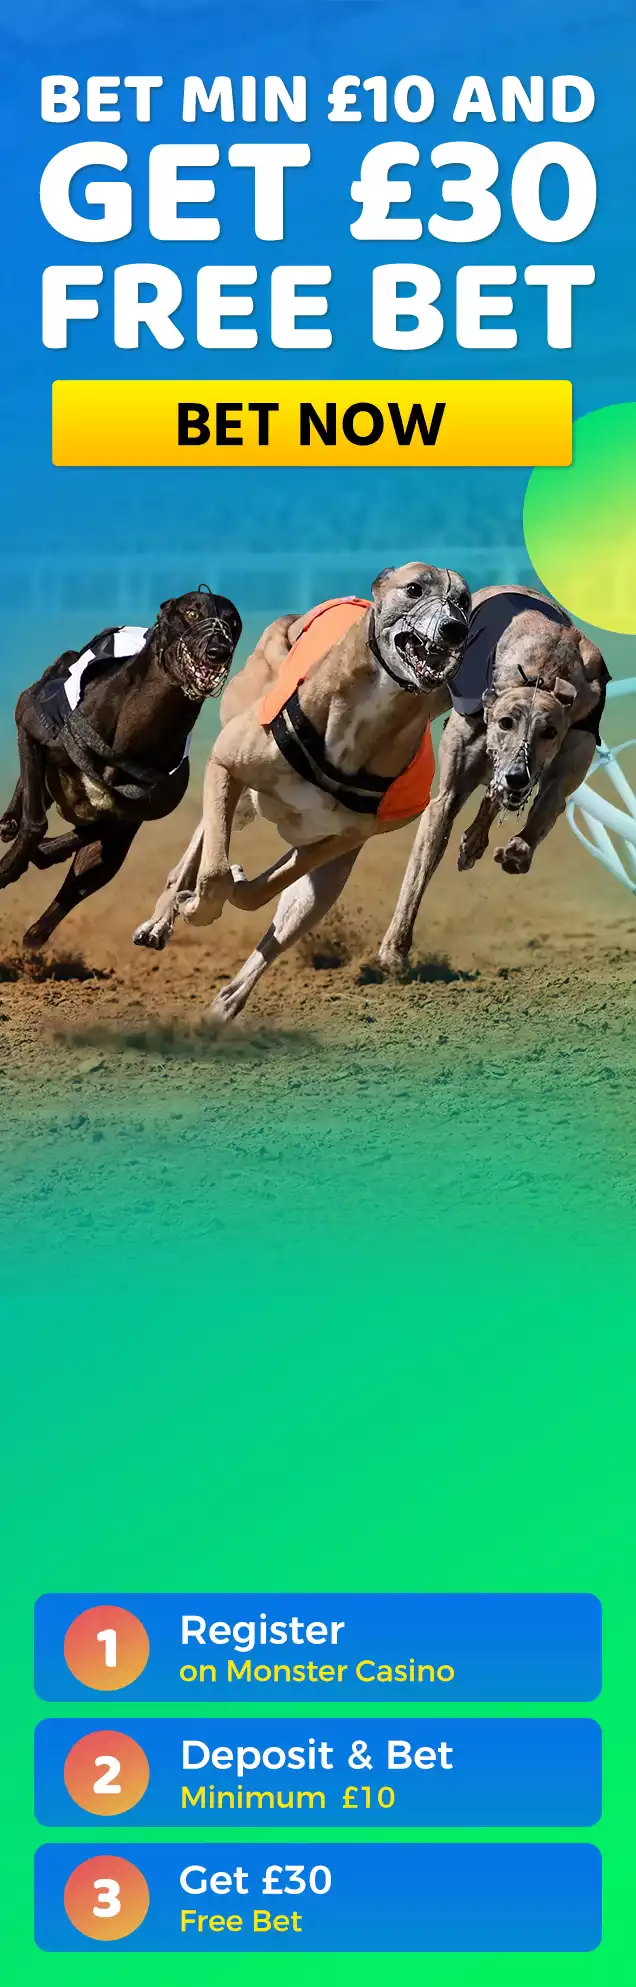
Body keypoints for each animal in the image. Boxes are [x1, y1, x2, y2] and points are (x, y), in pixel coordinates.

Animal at [0, 587, 242, 949]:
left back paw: (34, 935)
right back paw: (11, 823)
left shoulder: (131, 817)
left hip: (109, 854)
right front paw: (9, 865)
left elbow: (83, 837)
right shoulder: (29, 719)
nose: (218, 651)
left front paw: (41, 855)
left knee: (74, 887)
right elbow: (35, 821)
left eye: (233, 622)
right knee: (32, 792)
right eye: (192, 613)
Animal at [133, 563, 471, 1017]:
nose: (455, 628)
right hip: (239, 790)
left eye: (464, 599)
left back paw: (223, 1006)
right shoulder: (224, 764)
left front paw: (233, 886)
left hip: (324, 874)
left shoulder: (334, 844)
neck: (365, 718)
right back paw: (159, 920)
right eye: (414, 589)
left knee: (277, 924)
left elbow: (255, 892)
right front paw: (193, 905)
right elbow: (215, 872)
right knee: (203, 843)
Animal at [378, 584, 609, 975]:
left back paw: (476, 840)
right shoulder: (447, 795)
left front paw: (516, 851)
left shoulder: (569, 753)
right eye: (505, 722)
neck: (545, 673)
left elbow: (545, 807)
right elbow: (419, 871)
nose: (519, 777)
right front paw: (394, 949)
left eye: (549, 732)